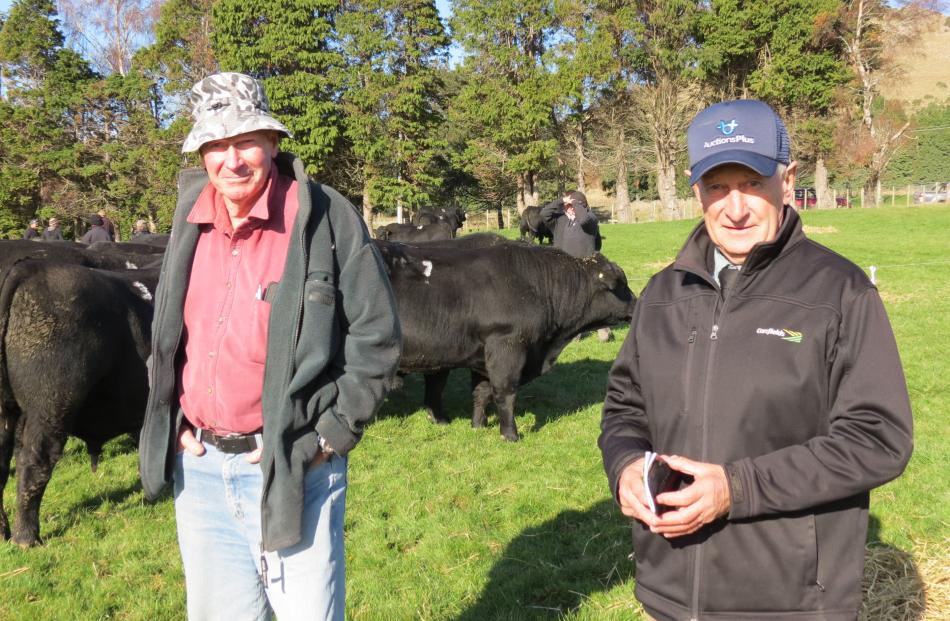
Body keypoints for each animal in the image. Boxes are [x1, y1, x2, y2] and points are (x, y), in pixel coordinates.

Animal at [376, 239, 636, 440]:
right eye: (622, 284)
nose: (637, 304)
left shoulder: (482, 356)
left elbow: (481, 392)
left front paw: (478, 425)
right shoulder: (507, 347)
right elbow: (505, 392)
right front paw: (510, 434)